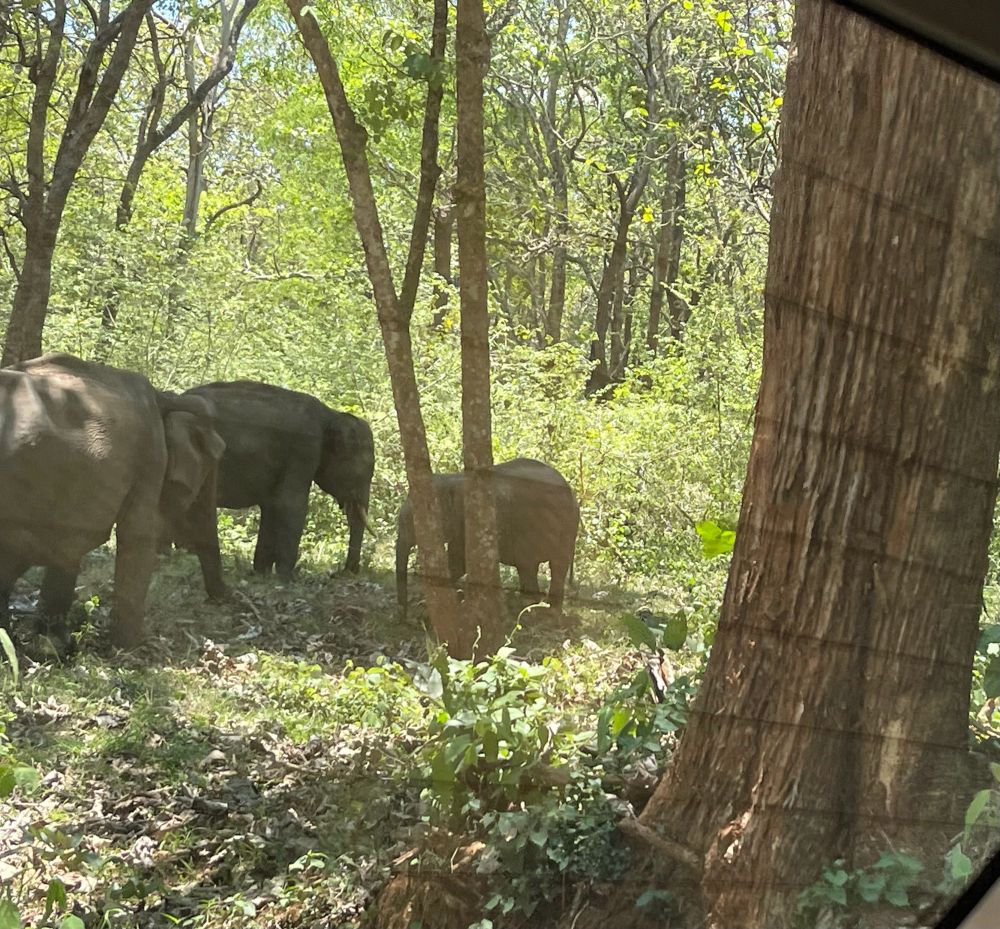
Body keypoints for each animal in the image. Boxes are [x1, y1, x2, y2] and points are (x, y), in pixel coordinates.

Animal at [0, 353, 227, 648]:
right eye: (212, 461)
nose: (223, 599)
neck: (166, 398)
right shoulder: (150, 460)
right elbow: (137, 539)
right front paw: (128, 650)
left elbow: (69, 547)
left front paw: (54, 644)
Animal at [181, 381, 375, 578]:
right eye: (361, 472)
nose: (342, 572)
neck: (331, 415)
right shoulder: (304, 449)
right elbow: (291, 503)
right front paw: (287, 576)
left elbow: (272, 505)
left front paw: (262, 573)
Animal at [395, 457, 579, 619]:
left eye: (411, 523)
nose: (404, 616)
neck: (452, 478)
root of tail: (570, 492)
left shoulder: (468, 520)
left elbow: (458, 563)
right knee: (542, 566)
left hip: (551, 526)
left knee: (539, 565)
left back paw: (535, 609)